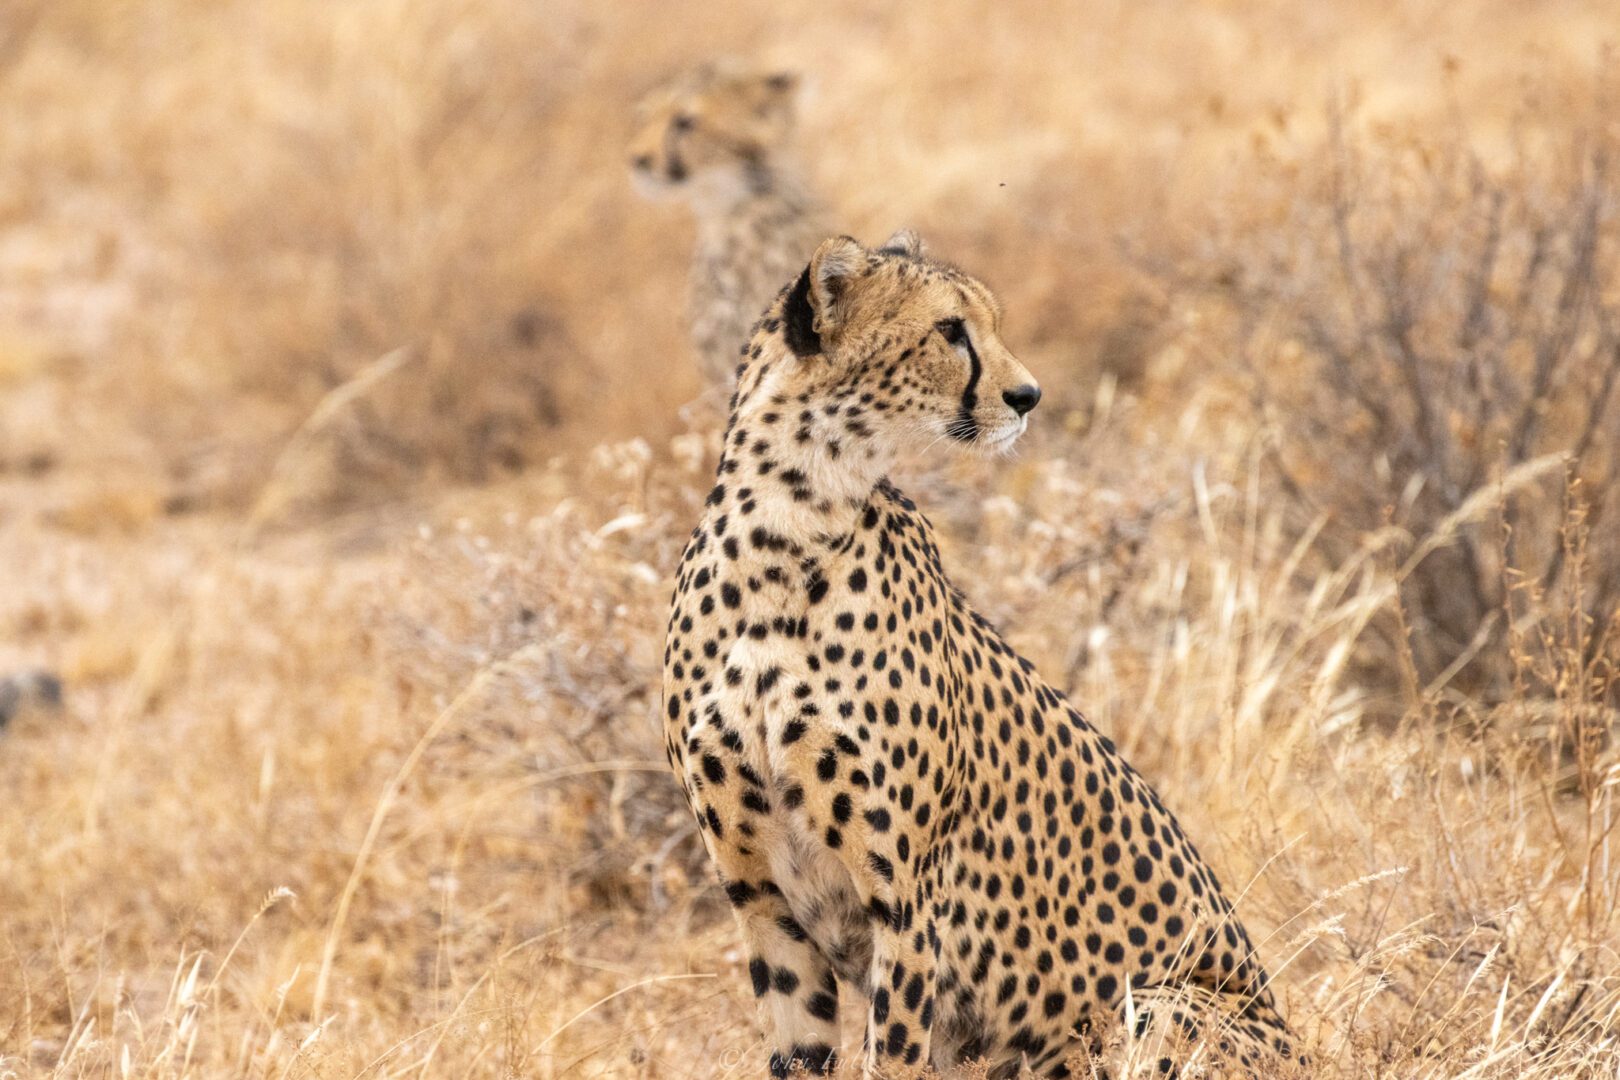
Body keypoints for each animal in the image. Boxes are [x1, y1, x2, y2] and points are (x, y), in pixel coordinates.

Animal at [657, 233, 1302, 1075]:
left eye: (990, 324)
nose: (1028, 396)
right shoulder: (763, 899)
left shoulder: (907, 903)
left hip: (1153, 1006)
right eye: (949, 330)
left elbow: (893, 1055)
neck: (787, 523)